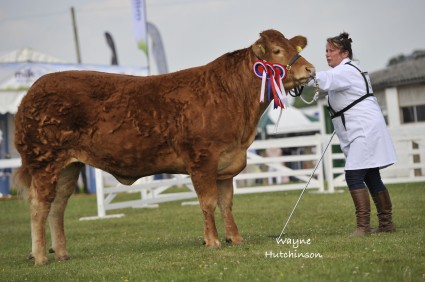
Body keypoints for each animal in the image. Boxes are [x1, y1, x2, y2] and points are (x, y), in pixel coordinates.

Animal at [14, 29, 312, 266]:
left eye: (293, 48)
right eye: (277, 51)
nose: (310, 69)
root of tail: (34, 89)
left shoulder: (226, 164)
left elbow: (226, 203)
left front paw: (235, 238)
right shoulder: (202, 160)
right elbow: (208, 203)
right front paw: (213, 241)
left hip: (69, 166)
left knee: (57, 207)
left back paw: (62, 253)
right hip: (44, 161)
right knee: (39, 206)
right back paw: (40, 256)